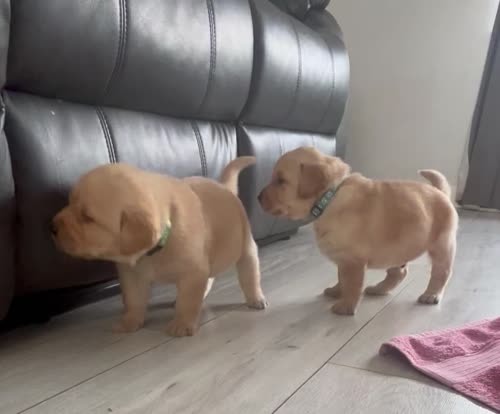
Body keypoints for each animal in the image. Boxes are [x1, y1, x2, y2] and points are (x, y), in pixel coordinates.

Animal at [52, 157, 268, 334]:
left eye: (87, 218)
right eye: (69, 202)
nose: (52, 227)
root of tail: (225, 188)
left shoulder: (193, 272)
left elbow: (188, 301)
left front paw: (182, 324)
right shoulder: (132, 276)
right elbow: (133, 300)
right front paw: (130, 321)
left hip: (246, 248)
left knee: (249, 275)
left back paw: (256, 298)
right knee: (209, 279)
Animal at [260, 147, 458, 316]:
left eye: (281, 181)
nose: (257, 197)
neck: (330, 197)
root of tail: (440, 192)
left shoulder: (353, 260)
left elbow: (352, 284)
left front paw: (345, 306)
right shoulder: (343, 258)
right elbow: (342, 278)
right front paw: (336, 291)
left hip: (441, 245)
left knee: (442, 272)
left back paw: (431, 295)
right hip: (399, 249)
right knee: (398, 273)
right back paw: (378, 289)